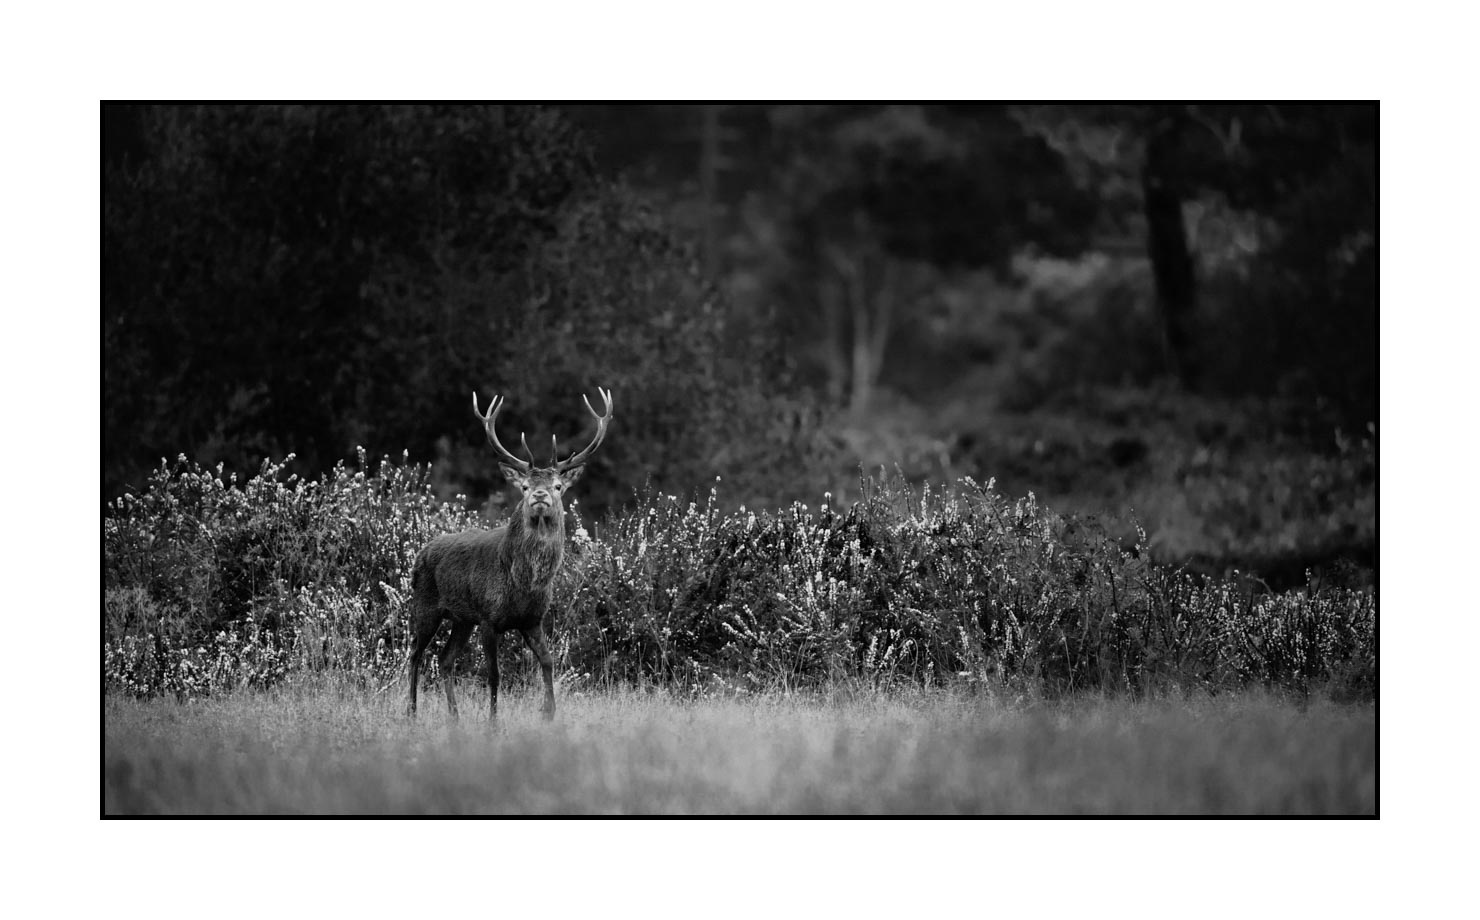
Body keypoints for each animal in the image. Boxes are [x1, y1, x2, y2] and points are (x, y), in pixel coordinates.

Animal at [407, 387, 613, 721]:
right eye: (525, 486)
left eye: (558, 485)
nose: (540, 495)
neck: (524, 584)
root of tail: (421, 550)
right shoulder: (489, 618)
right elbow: (494, 675)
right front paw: (492, 721)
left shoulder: (532, 620)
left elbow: (548, 662)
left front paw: (549, 714)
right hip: (425, 605)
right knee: (415, 654)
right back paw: (411, 712)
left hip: (462, 619)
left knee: (444, 659)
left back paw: (455, 717)